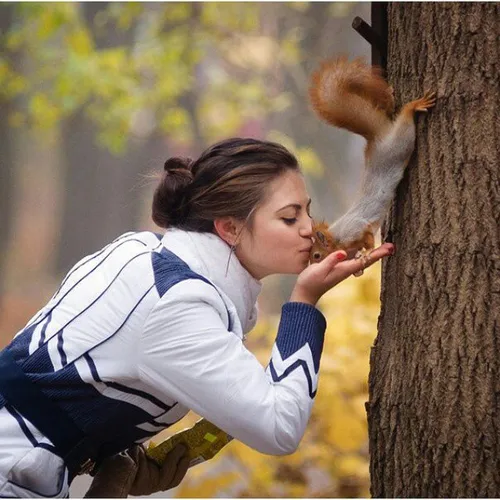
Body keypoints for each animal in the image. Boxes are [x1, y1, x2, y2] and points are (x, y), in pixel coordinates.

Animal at [306, 56, 436, 264]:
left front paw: (366, 253)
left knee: (406, 122)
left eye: (317, 255)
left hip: (400, 144)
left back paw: (413, 106)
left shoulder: (356, 229)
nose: (309, 266)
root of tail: (377, 139)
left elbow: (367, 238)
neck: (337, 237)